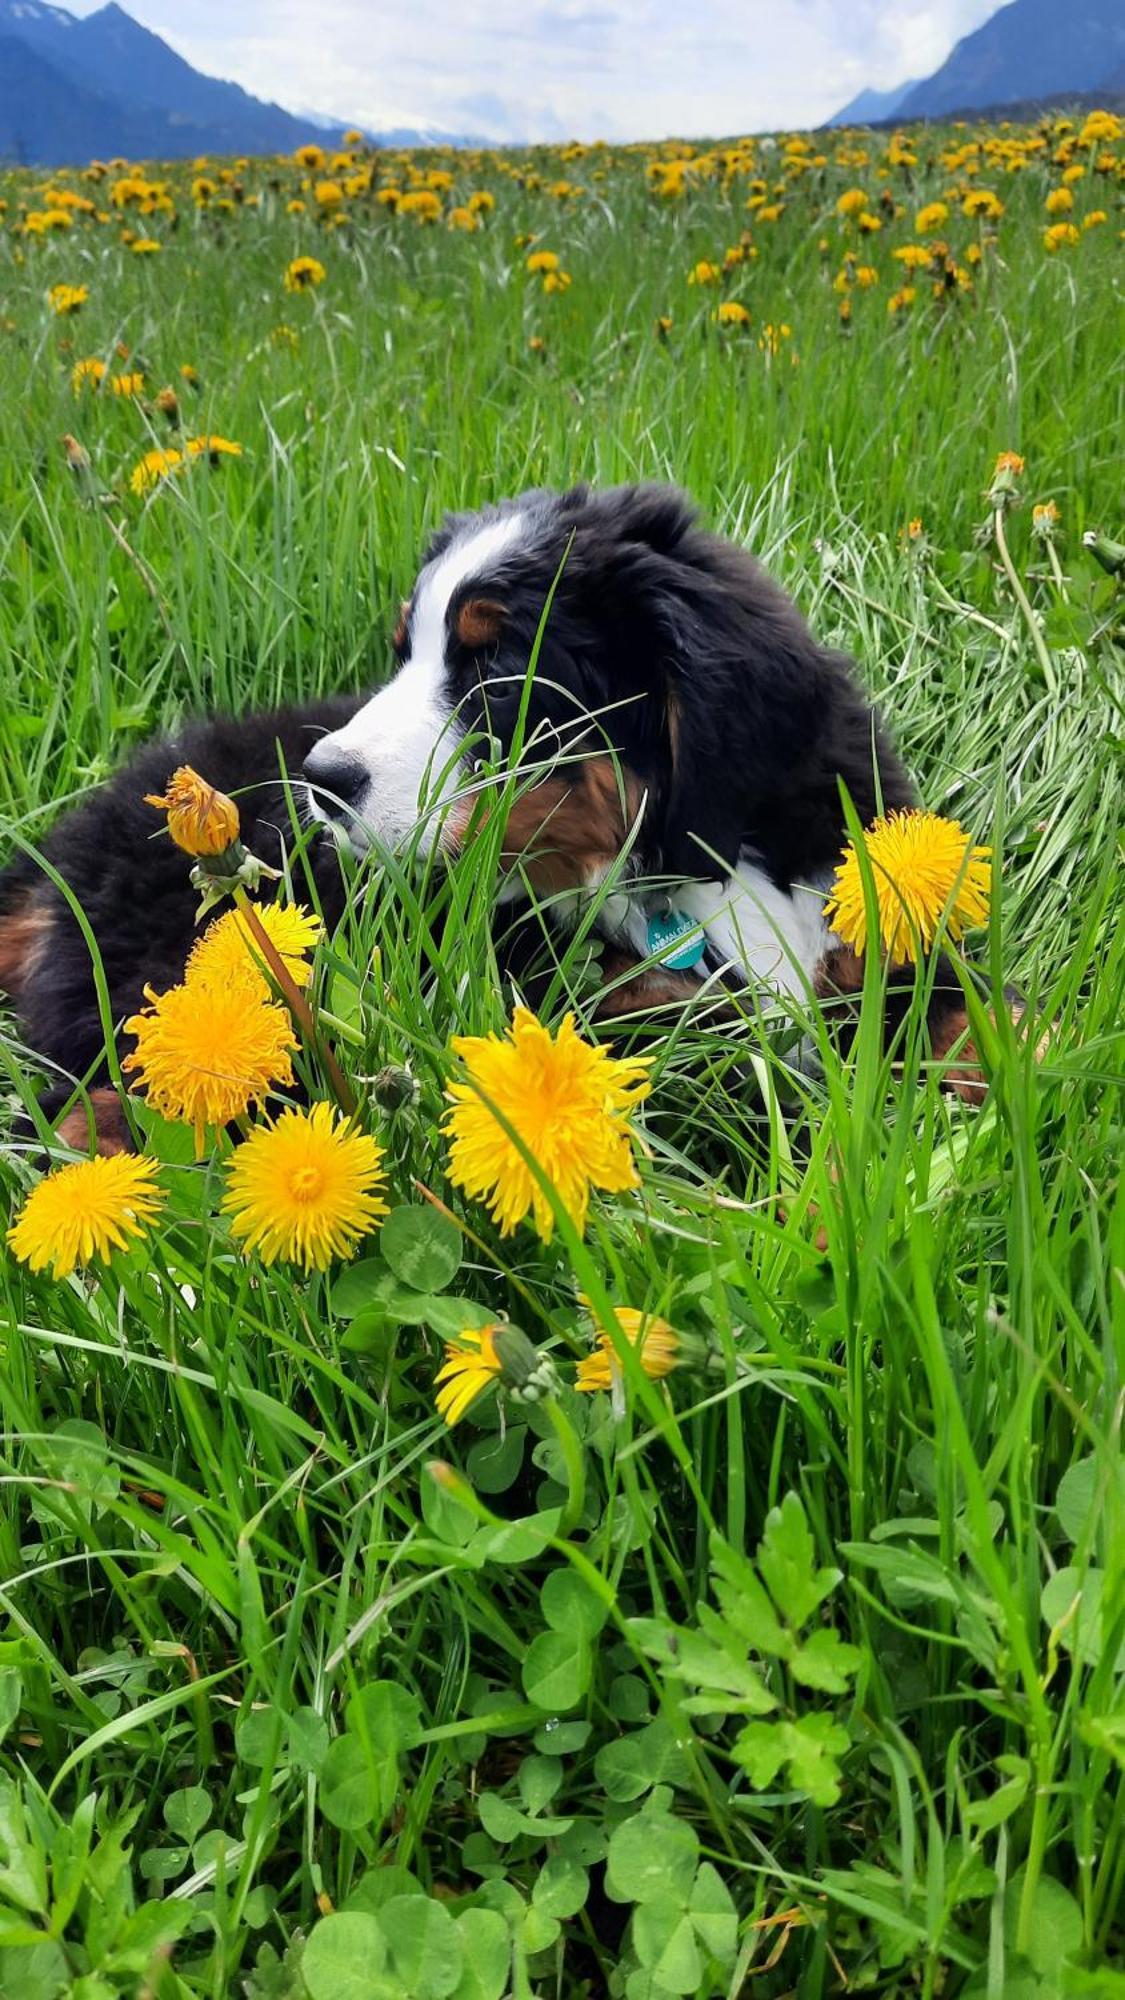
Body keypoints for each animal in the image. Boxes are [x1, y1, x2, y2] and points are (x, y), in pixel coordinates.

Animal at [0, 478, 980, 1160]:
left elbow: (959, 1005)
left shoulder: (863, 908)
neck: (688, 865)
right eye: (403, 651)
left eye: (498, 670)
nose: (320, 780)